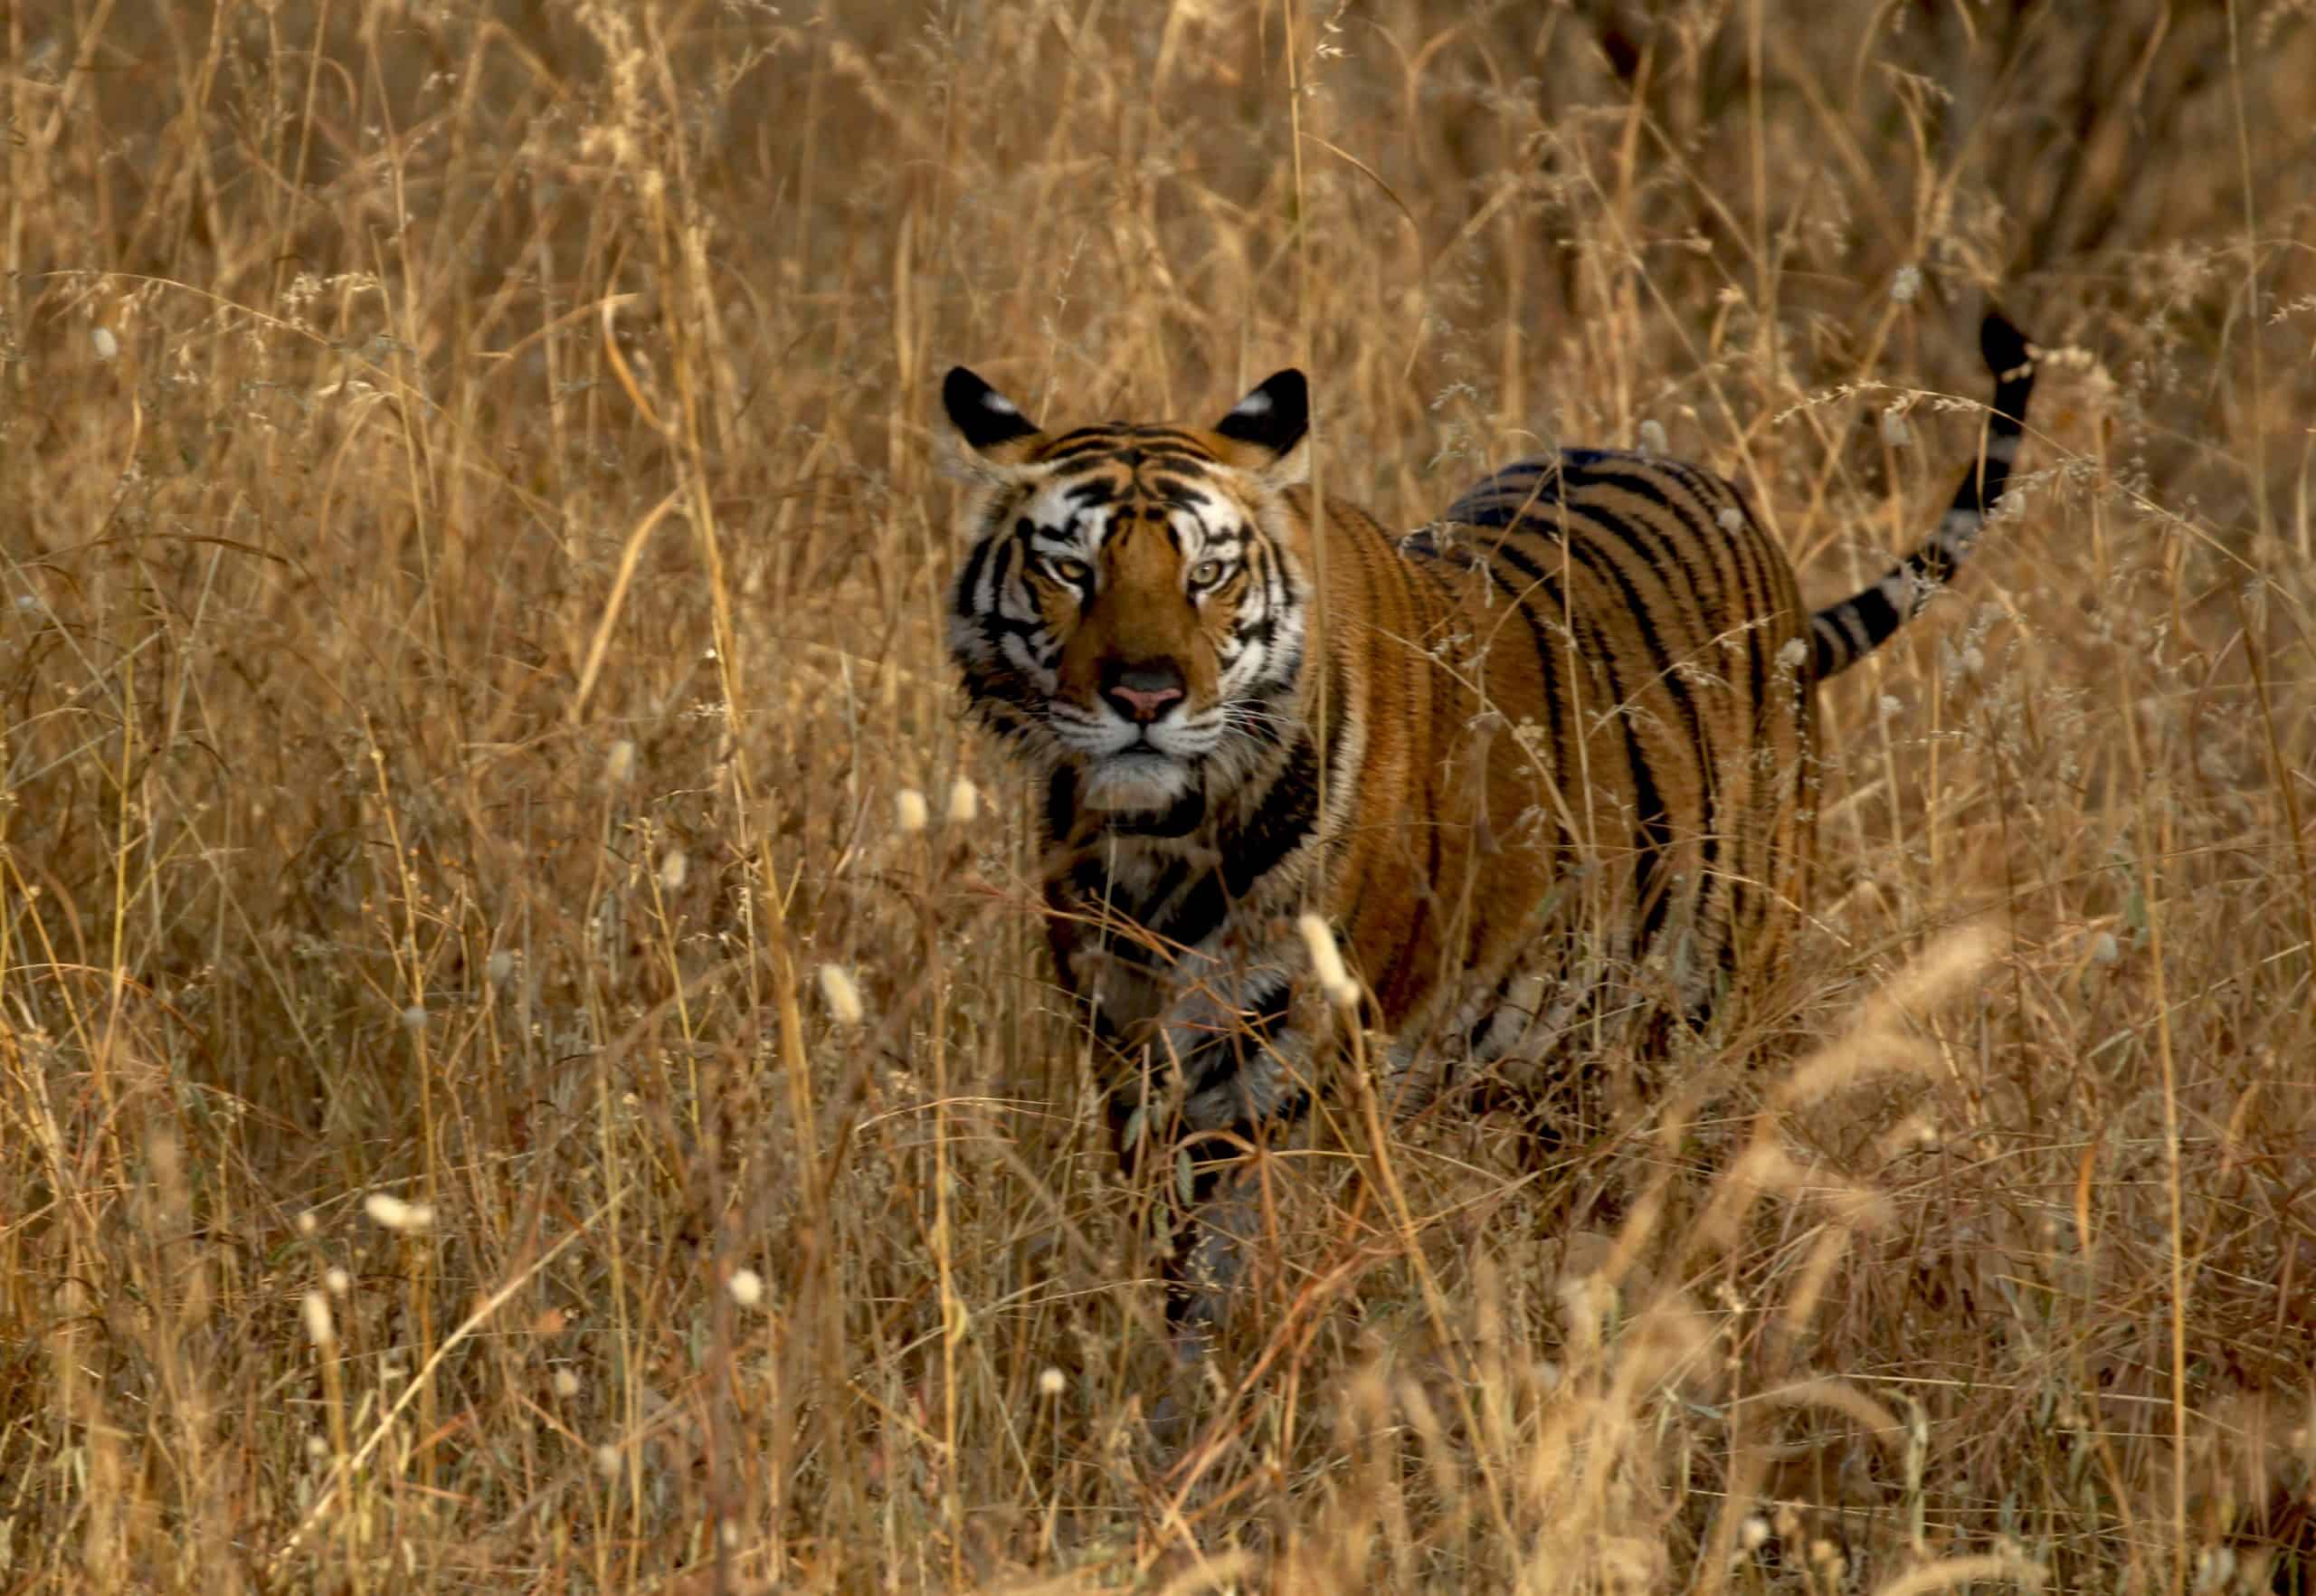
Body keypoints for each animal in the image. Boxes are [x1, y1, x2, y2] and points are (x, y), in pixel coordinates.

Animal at [942, 312, 2035, 1339]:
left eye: (1205, 575)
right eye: (1070, 572)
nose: (1144, 695)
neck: (1162, 843)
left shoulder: (1287, 1070)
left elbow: (1234, 1277)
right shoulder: (1130, 1059)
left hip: (1719, 1012)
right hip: (1569, 1070)